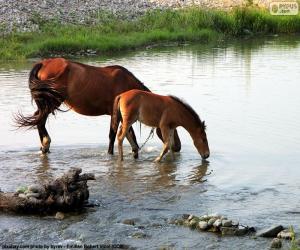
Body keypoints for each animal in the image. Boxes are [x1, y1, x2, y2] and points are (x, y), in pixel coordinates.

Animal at [15, 58, 180, 156]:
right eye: (172, 126)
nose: (177, 147)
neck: (126, 84)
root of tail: (43, 63)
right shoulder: (115, 113)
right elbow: (113, 135)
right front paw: (110, 154)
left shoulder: (126, 114)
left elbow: (129, 134)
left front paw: (135, 151)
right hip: (52, 102)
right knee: (40, 120)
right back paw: (46, 144)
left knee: (38, 119)